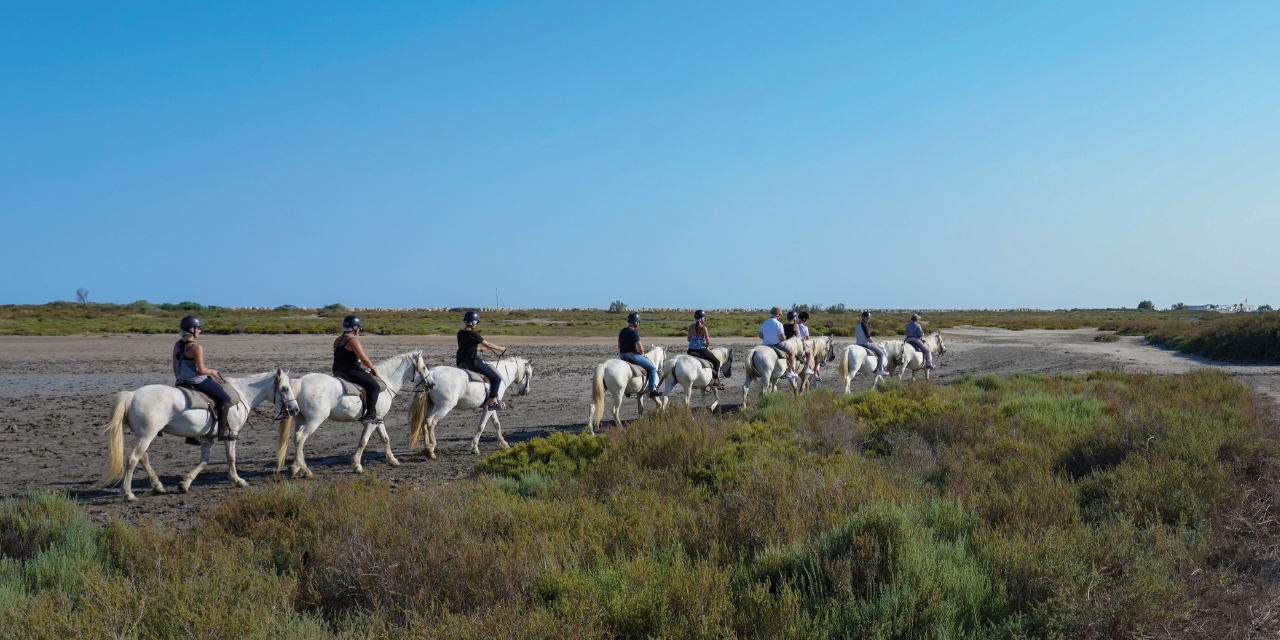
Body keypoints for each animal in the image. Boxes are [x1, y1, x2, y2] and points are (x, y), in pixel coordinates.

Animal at [95, 368, 299, 501]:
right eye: (285, 388)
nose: (295, 409)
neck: (241, 394)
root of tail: (133, 395)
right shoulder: (231, 433)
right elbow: (231, 458)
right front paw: (237, 480)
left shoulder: (208, 438)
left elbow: (204, 461)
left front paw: (185, 483)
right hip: (146, 436)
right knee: (132, 459)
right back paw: (128, 493)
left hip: (144, 437)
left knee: (142, 457)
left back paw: (158, 486)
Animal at [275, 350, 424, 481]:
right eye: (424, 367)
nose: (429, 384)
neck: (385, 382)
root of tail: (301, 381)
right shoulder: (372, 421)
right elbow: (363, 440)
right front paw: (357, 465)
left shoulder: (379, 419)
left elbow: (385, 438)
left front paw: (392, 460)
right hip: (314, 421)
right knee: (300, 437)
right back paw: (304, 470)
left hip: (300, 419)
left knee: (296, 439)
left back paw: (295, 467)